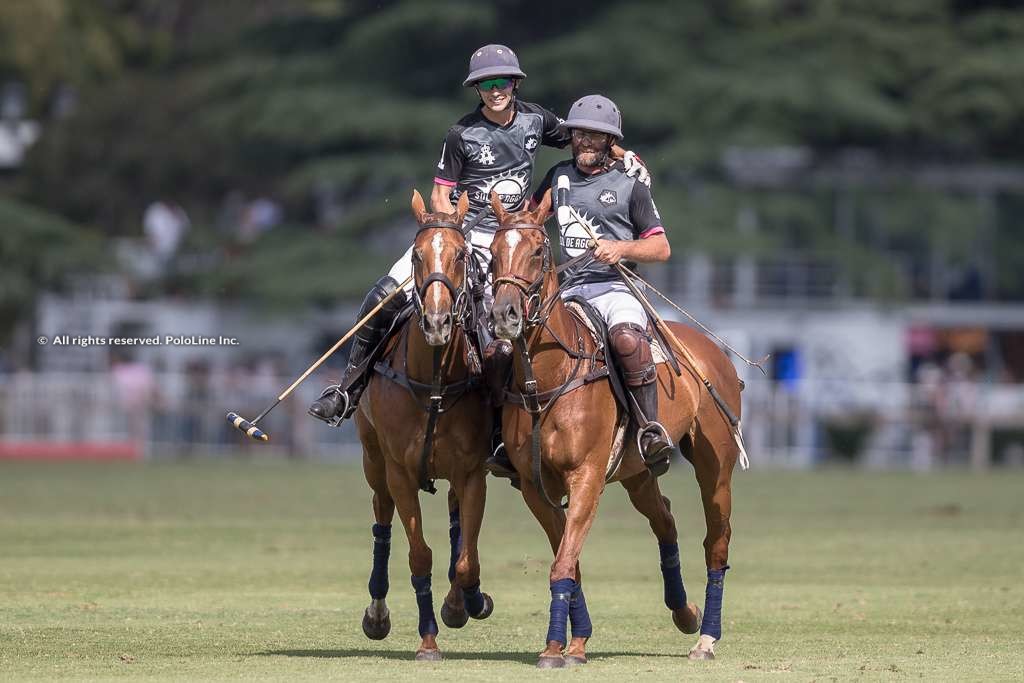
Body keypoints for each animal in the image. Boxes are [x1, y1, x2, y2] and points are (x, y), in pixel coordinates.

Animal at [354, 191, 493, 663]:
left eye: (461, 255)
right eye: (417, 255)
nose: (436, 322)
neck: (432, 381)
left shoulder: (472, 472)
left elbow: (467, 560)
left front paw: (466, 603)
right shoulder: (399, 470)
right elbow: (419, 556)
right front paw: (428, 639)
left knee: (456, 526)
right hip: (373, 458)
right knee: (381, 517)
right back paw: (376, 615)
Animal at [487, 192, 745, 667]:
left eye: (538, 252)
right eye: (492, 252)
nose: (504, 317)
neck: (548, 378)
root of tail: (712, 350)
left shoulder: (587, 477)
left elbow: (564, 561)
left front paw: (560, 648)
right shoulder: (535, 487)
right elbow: (568, 560)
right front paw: (572, 643)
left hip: (715, 467)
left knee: (716, 541)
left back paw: (706, 638)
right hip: (637, 471)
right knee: (665, 518)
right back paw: (684, 613)